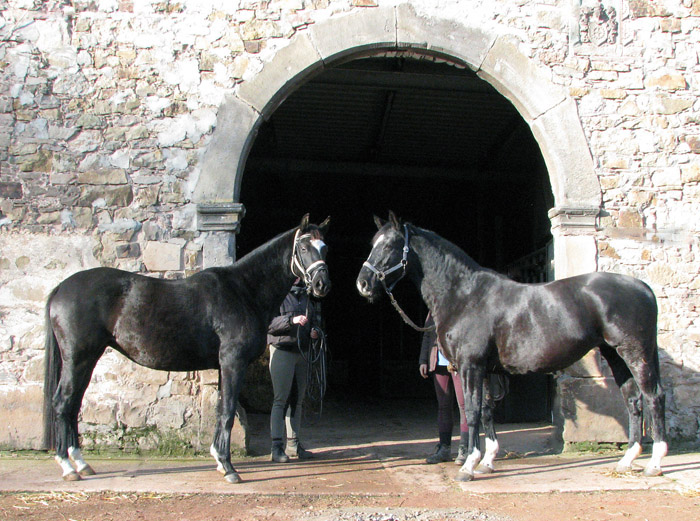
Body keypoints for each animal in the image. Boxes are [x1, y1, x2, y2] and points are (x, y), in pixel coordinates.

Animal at [45, 213, 332, 482]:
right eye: (303, 247)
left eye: (325, 247)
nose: (322, 285)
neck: (243, 291)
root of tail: (61, 288)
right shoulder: (233, 362)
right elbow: (228, 412)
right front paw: (229, 468)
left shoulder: (223, 366)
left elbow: (220, 410)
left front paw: (219, 459)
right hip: (78, 358)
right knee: (62, 403)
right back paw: (68, 466)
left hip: (86, 359)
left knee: (73, 405)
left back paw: (81, 463)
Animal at [358, 213, 664, 482]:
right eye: (373, 243)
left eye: (389, 245)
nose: (362, 284)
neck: (465, 295)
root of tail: (644, 288)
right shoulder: (485, 369)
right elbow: (486, 410)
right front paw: (487, 462)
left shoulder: (470, 366)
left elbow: (472, 411)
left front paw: (468, 466)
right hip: (615, 355)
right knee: (633, 400)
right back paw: (627, 460)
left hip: (635, 354)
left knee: (653, 397)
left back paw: (654, 463)